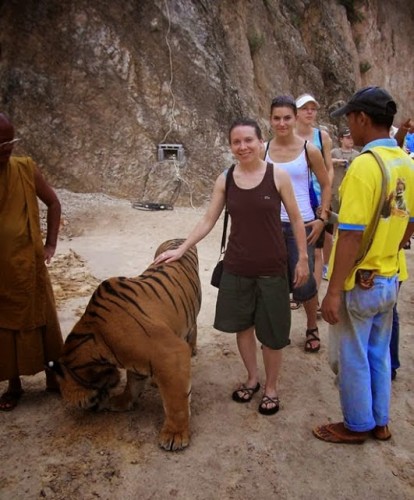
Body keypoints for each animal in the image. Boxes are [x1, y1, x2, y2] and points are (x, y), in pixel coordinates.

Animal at [47, 239, 201, 454]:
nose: (89, 408)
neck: (99, 342)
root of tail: (178, 238)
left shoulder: (170, 352)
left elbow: (175, 401)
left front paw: (175, 435)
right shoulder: (138, 360)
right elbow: (133, 383)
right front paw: (122, 401)